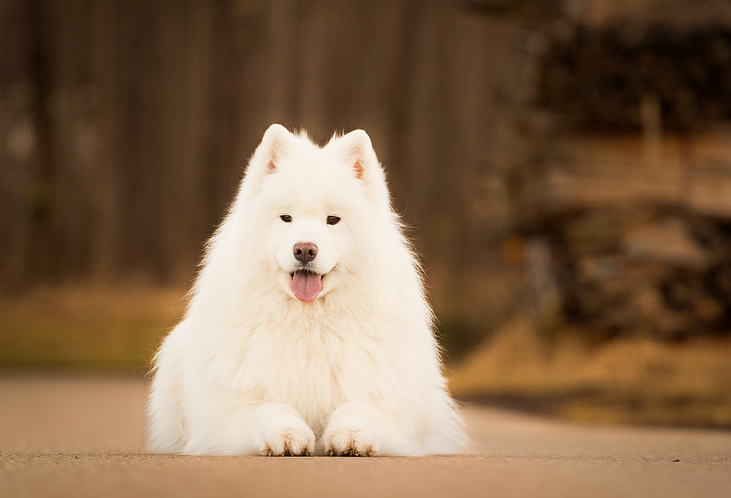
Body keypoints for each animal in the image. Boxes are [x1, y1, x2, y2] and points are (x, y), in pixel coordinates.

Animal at [147, 124, 468, 456]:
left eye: (333, 220)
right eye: (286, 218)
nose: (304, 249)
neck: (310, 321)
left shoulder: (382, 398)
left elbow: (358, 409)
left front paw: (352, 435)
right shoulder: (232, 407)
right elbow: (270, 409)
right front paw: (286, 435)